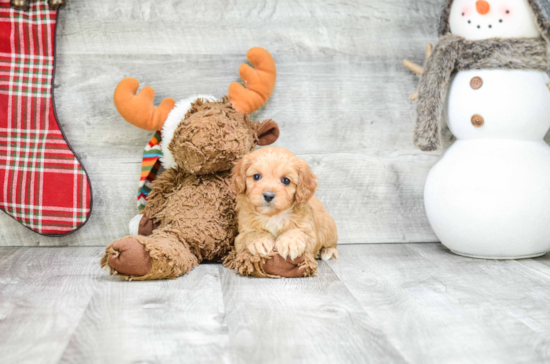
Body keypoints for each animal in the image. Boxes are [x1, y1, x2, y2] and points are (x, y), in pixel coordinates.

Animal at [232, 146, 338, 276]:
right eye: (256, 176)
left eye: (286, 180)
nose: (268, 195)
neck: (272, 216)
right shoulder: (240, 236)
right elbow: (252, 233)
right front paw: (259, 241)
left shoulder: (310, 233)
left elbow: (297, 232)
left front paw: (290, 243)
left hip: (329, 229)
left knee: (332, 243)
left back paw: (327, 252)